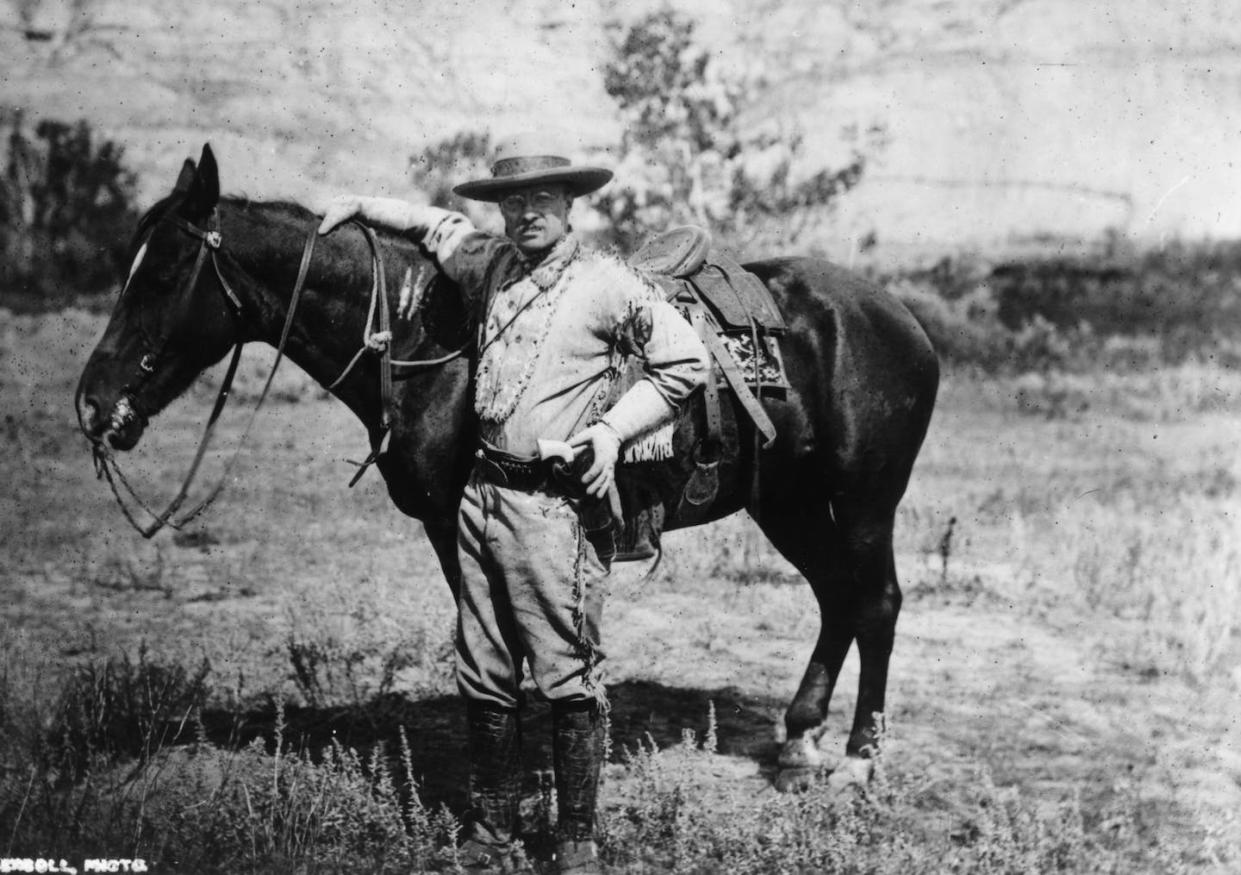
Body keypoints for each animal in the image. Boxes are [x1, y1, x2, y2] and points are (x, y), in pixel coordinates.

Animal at [72, 145, 933, 794]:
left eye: (161, 274)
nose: (93, 402)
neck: (423, 339)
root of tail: (900, 317)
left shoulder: (464, 521)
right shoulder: (454, 529)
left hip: (864, 500)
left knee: (876, 601)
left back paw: (858, 759)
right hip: (787, 501)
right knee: (836, 597)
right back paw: (798, 744)